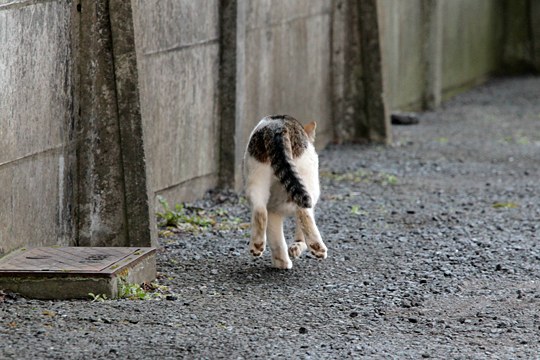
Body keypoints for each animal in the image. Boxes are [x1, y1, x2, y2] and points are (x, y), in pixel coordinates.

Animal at [243, 114, 326, 268]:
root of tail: (278, 126)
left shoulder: (274, 211)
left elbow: (276, 239)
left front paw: (281, 262)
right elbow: (299, 232)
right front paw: (297, 248)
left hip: (256, 177)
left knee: (260, 211)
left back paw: (258, 246)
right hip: (308, 184)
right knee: (303, 212)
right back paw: (317, 247)